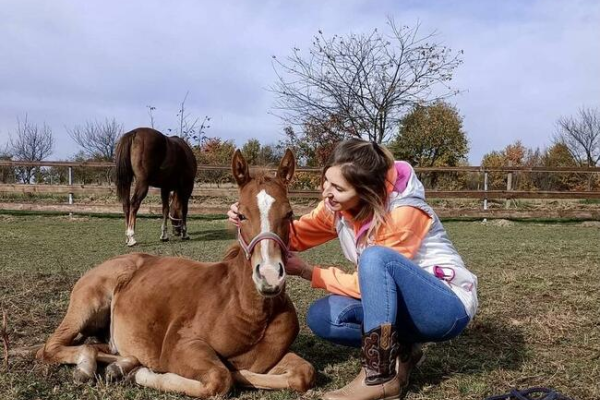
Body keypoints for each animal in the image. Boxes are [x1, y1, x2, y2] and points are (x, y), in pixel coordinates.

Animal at [34, 149, 314, 396]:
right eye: (241, 214)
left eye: (289, 213)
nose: (269, 276)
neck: (249, 310)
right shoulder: (179, 346)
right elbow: (220, 378)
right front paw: (144, 374)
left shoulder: (271, 358)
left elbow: (304, 373)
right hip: (86, 306)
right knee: (51, 347)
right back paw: (90, 369)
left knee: (98, 346)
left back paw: (119, 366)